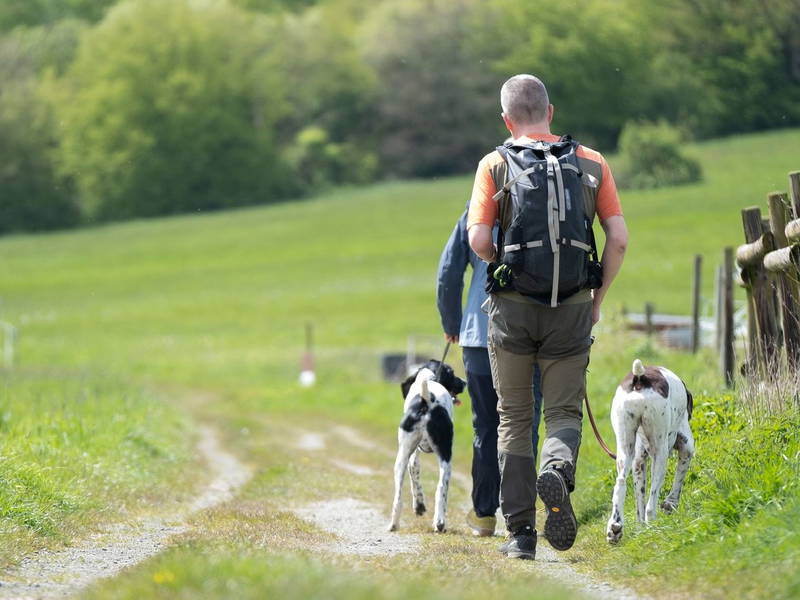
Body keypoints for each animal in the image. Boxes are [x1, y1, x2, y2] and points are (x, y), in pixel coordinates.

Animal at [386, 358, 462, 532]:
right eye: (452, 373)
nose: (464, 382)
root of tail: (427, 401)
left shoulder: (412, 455)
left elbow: (415, 477)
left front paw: (419, 506)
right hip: (446, 459)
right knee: (441, 489)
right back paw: (440, 523)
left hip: (401, 459)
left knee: (398, 497)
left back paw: (394, 524)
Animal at [608, 360, 692, 544]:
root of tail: (641, 378)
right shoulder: (686, 448)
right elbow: (678, 482)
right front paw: (670, 504)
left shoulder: (638, 462)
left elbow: (639, 500)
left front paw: (640, 529)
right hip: (660, 454)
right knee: (650, 503)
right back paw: (654, 525)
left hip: (625, 450)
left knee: (620, 484)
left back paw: (615, 527)